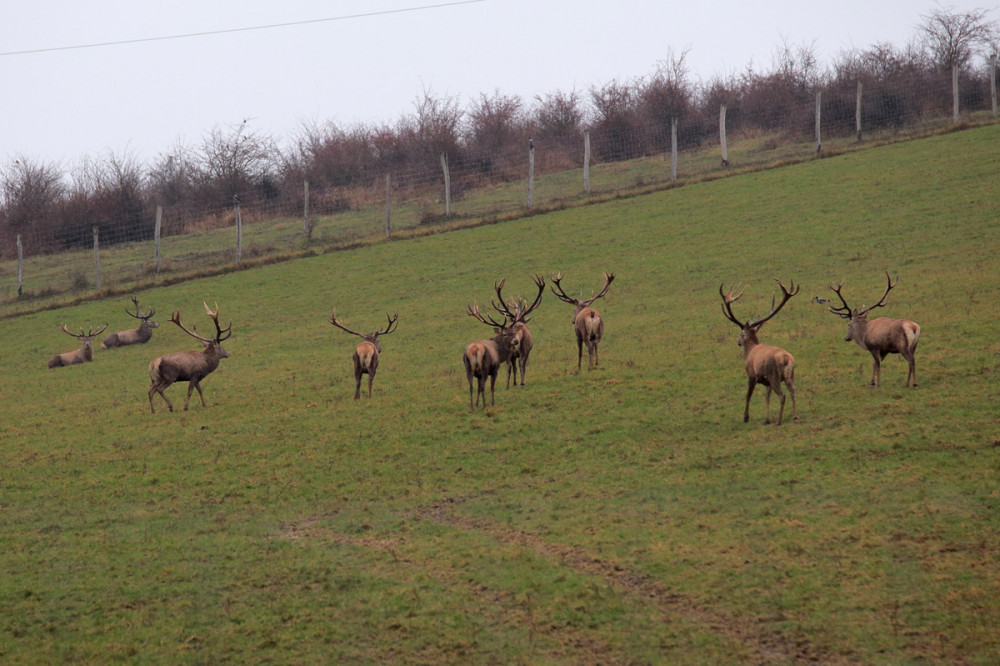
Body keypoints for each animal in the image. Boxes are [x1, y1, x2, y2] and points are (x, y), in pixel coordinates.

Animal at [462, 276, 544, 410]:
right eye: (505, 334)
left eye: (513, 331)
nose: (516, 341)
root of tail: (475, 350)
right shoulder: (496, 367)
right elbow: (492, 386)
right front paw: (492, 402)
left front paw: (478, 403)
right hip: (488, 366)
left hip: (468, 368)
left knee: (471, 387)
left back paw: (473, 407)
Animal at [724, 276, 800, 422]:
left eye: (741, 334)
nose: (738, 342)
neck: (750, 350)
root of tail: (786, 358)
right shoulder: (766, 383)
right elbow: (767, 398)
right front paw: (766, 419)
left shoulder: (751, 375)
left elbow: (748, 395)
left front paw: (746, 417)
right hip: (790, 375)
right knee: (793, 391)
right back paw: (794, 417)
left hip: (774, 375)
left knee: (782, 395)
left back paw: (779, 421)